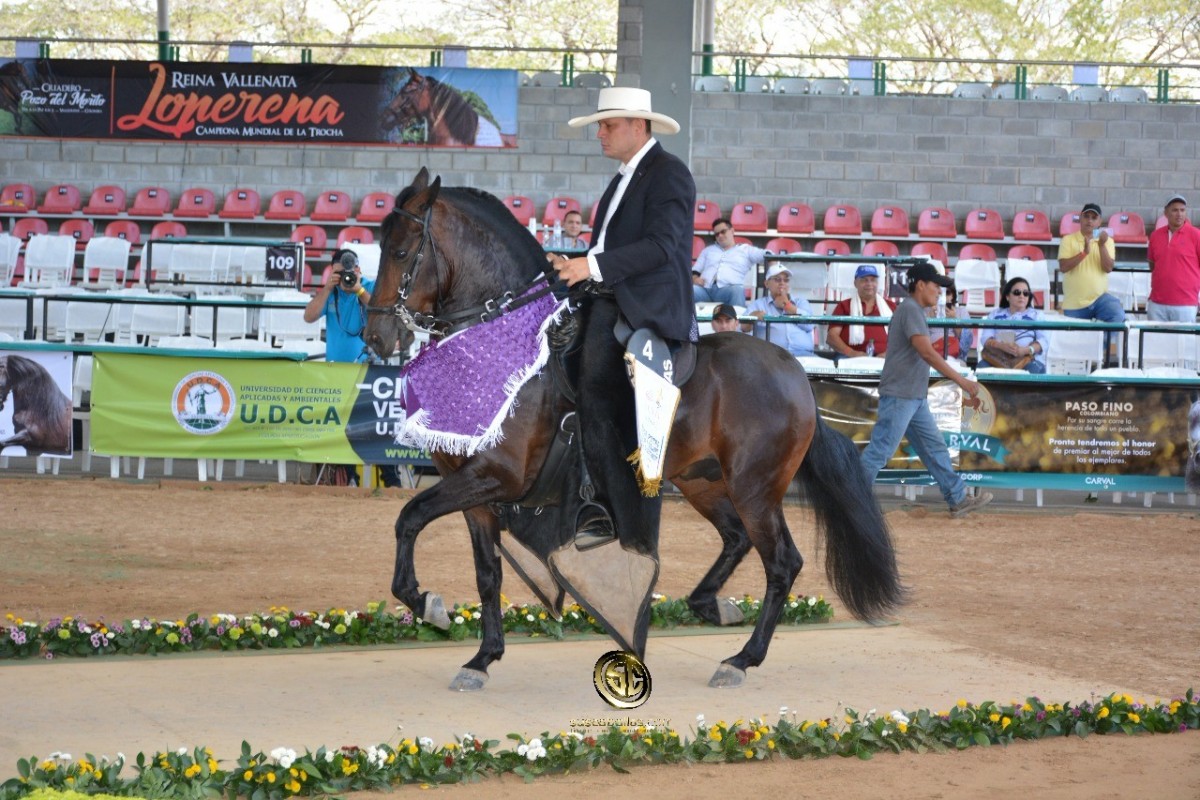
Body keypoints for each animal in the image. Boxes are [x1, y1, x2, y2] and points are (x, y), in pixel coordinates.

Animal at [364, 167, 902, 690]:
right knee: (736, 539)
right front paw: (480, 658)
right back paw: (712, 607)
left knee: (781, 563)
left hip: (755, 488)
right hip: (702, 480)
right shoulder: (474, 490)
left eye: (402, 251)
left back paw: (740, 659)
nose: (375, 336)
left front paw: (427, 604)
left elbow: (409, 517)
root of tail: (796, 375)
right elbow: (486, 573)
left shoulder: (497, 475)